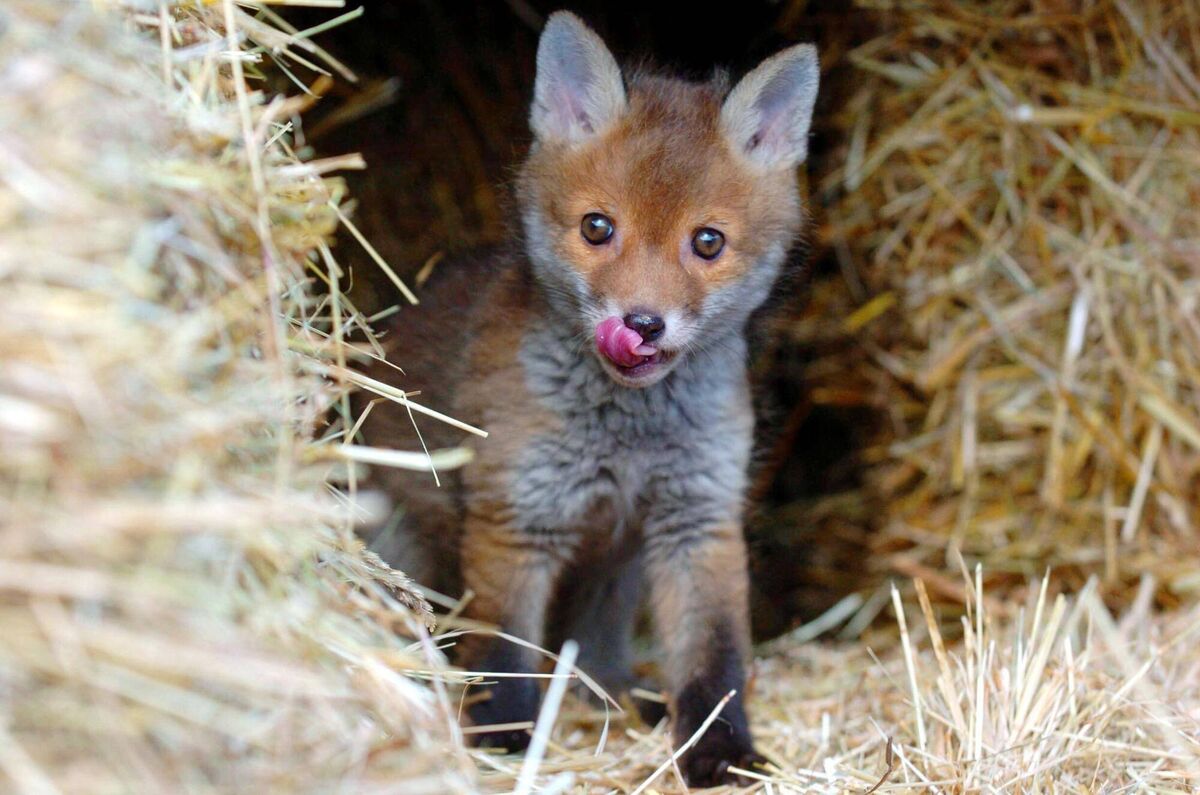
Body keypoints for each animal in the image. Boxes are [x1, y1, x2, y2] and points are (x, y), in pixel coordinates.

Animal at [357, 11, 819, 786]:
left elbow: (715, 658)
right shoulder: (517, 515)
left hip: (617, 573)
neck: (627, 436)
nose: (642, 323)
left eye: (707, 241)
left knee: (598, 654)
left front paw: (720, 750)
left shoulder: (698, 519)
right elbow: (505, 654)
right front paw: (505, 742)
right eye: (597, 228)